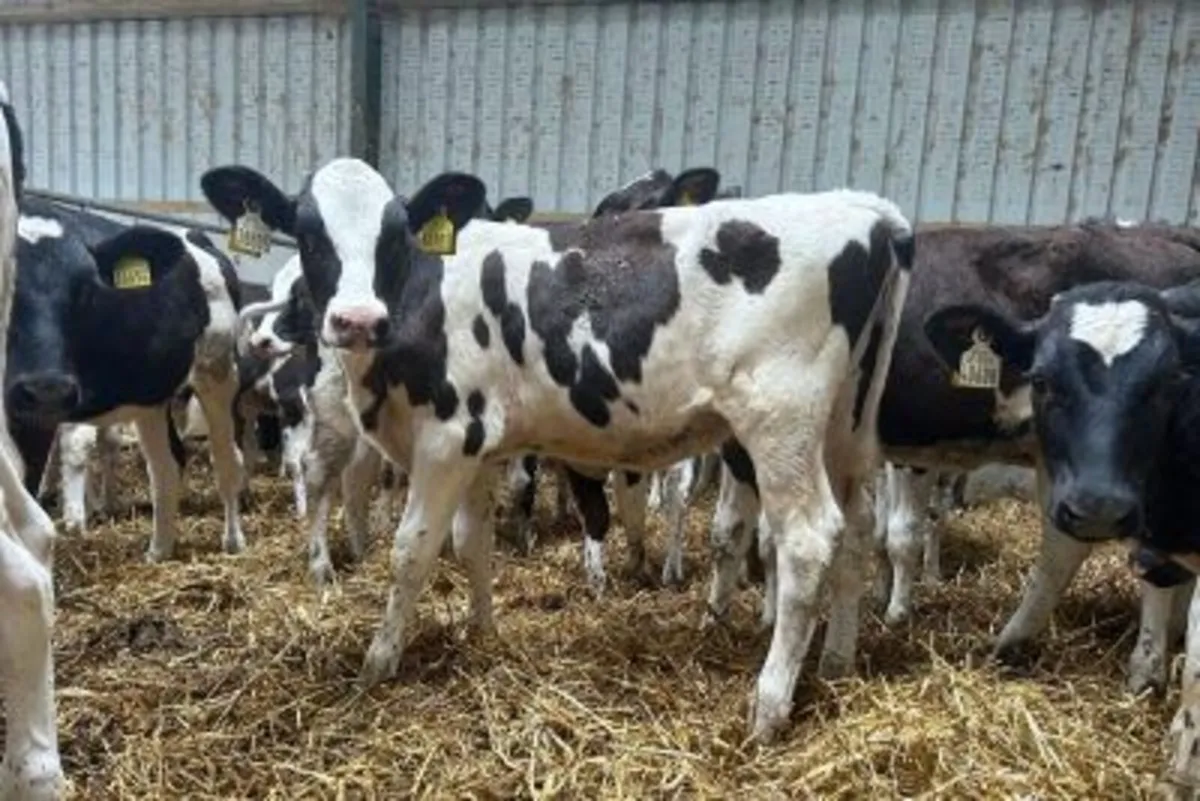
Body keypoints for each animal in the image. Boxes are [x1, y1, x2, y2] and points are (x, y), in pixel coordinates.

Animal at [199, 155, 915, 743]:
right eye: (309, 233)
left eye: (395, 233)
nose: (354, 320)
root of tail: (863, 209)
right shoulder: (480, 444)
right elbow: (473, 541)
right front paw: (481, 633)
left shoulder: (446, 439)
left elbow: (412, 551)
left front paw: (379, 661)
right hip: (847, 426)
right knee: (856, 530)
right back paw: (838, 662)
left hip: (779, 420)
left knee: (809, 539)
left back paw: (768, 707)